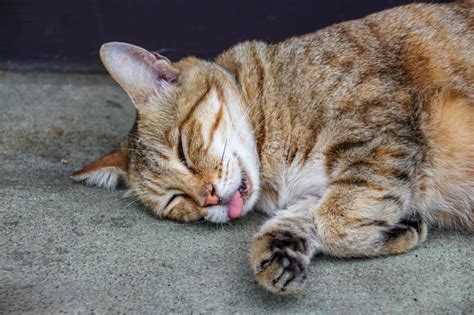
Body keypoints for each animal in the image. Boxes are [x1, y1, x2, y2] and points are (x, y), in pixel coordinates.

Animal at [72, 1, 472, 294]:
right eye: (175, 201)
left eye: (183, 152)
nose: (209, 199)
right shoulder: (333, 183)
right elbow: (304, 217)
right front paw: (279, 252)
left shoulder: (381, 131)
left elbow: (335, 222)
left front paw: (390, 230)